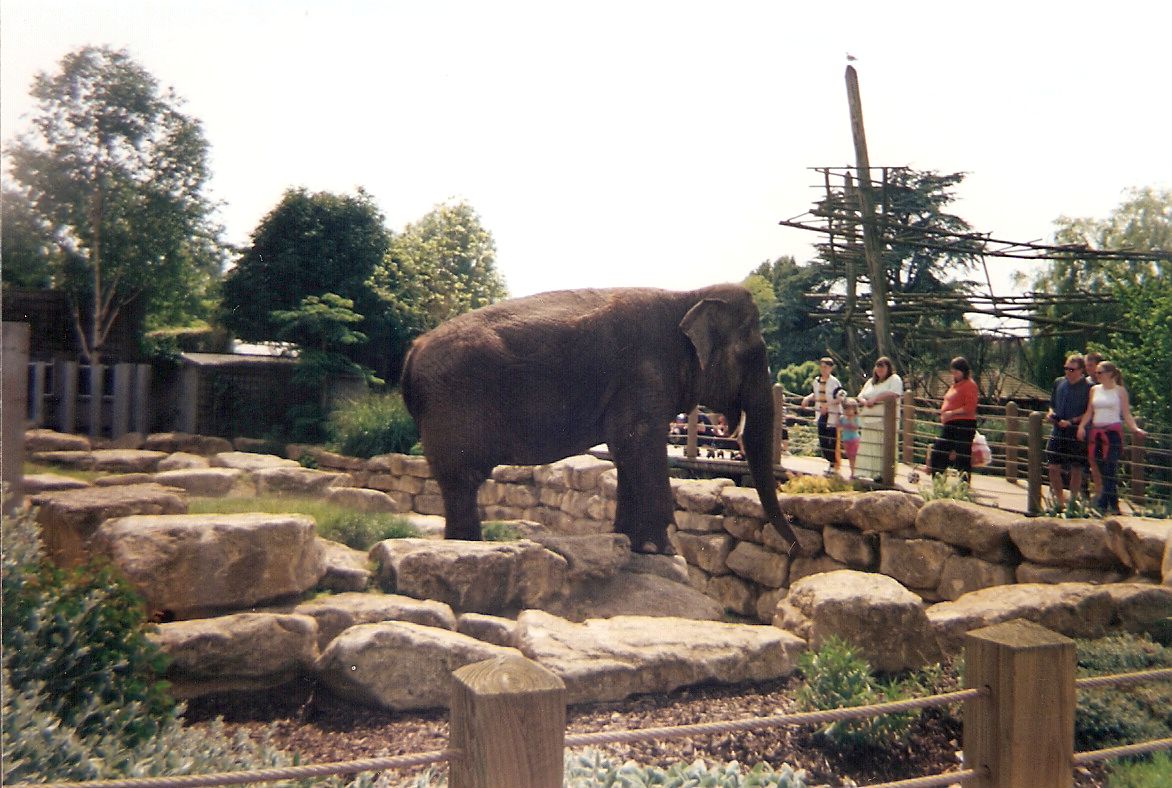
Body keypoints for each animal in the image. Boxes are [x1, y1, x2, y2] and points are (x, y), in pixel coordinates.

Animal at [400, 284, 801, 555]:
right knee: (463, 477)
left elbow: (627, 449)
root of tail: (412, 353)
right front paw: (661, 550)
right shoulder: (645, 372)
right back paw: (468, 547)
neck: (688, 295)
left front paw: (631, 543)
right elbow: (636, 440)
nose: (796, 545)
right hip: (455, 404)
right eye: (754, 354)